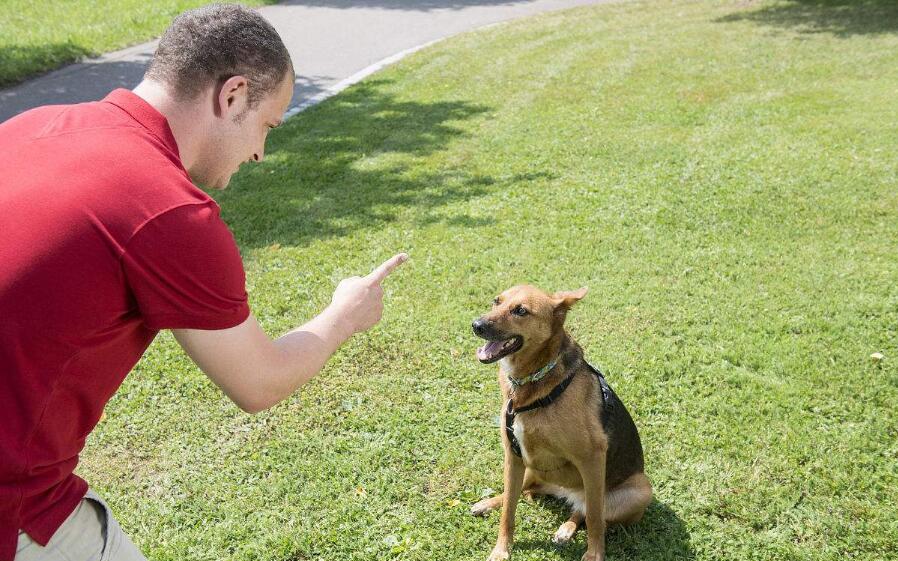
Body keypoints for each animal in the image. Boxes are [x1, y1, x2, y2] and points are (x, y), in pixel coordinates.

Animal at [468, 284, 652, 560]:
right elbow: (509, 509)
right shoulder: (513, 455)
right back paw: (488, 503)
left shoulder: (592, 458)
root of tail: (564, 492)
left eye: (520, 311)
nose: (476, 325)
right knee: (522, 491)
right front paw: (501, 549)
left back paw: (566, 528)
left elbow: (595, 517)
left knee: (587, 510)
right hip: (531, 469)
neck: (534, 382)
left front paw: (595, 554)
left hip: (639, 489)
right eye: (496, 301)